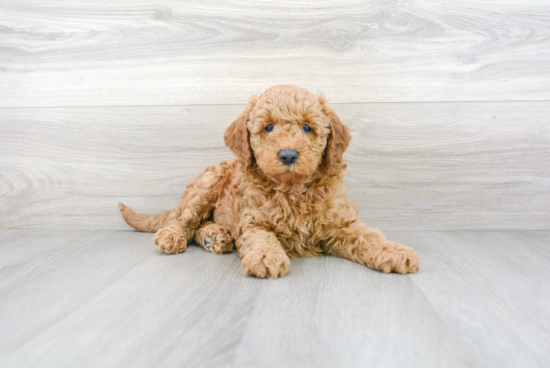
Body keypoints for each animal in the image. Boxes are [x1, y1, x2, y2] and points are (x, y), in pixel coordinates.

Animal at [121, 84, 420, 278]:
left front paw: (395, 251)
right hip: (209, 182)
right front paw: (267, 258)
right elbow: (261, 238)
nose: (288, 154)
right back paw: (174, 236)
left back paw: (214, 237)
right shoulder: (253, 221)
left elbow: (369, 237)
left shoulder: (341, 224)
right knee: (184, 220)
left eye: (307, 127)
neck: (294, 189)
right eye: (268, 127)